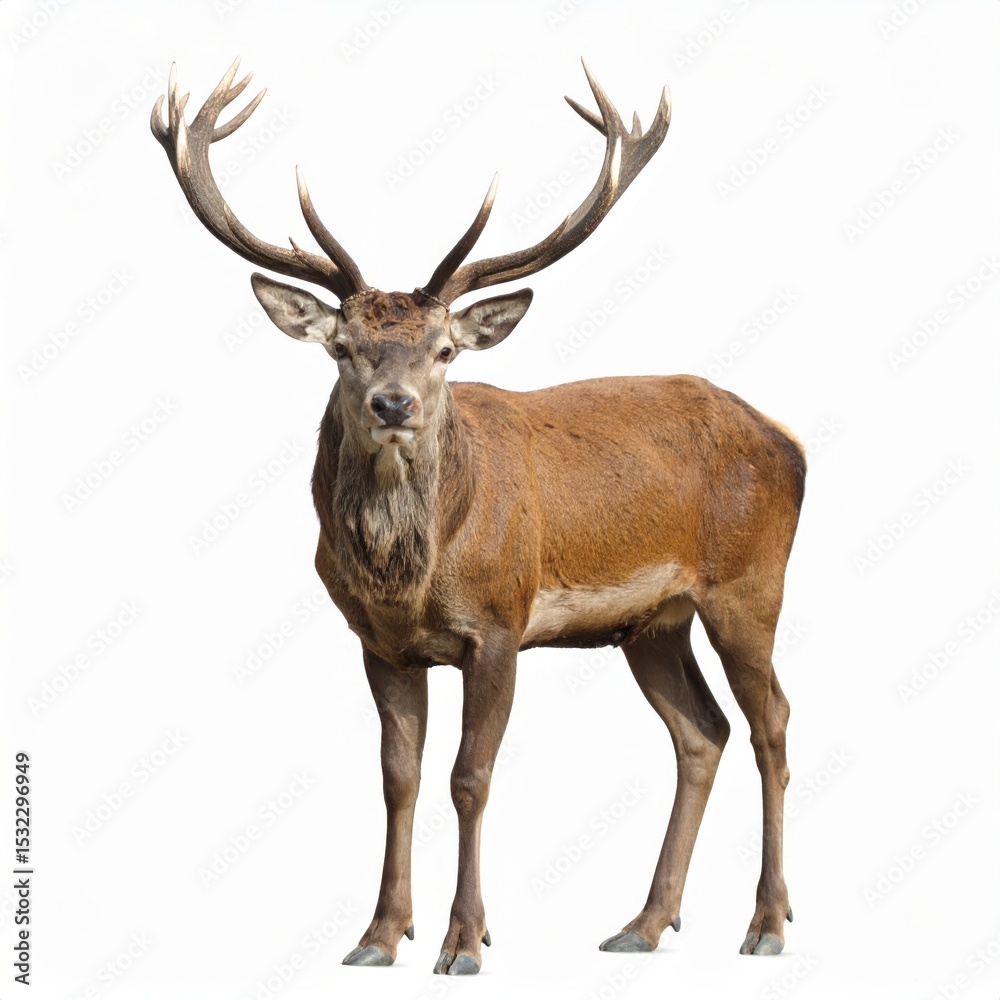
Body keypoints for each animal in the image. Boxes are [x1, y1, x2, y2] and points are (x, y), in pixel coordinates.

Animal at [152, 59, 805, 976]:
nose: (393, 404)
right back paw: (643, 923)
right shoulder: (378, 643)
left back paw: (768, 923)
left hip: (750, 583)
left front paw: (464, 941)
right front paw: (378, 935)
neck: (413, 579)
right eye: (343, 348)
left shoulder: (500, 623)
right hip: (652, 623)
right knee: (701, 731)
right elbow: (399, 777)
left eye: (444, 351)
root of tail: (791, 441)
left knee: (770, 723)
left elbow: (471, 777)